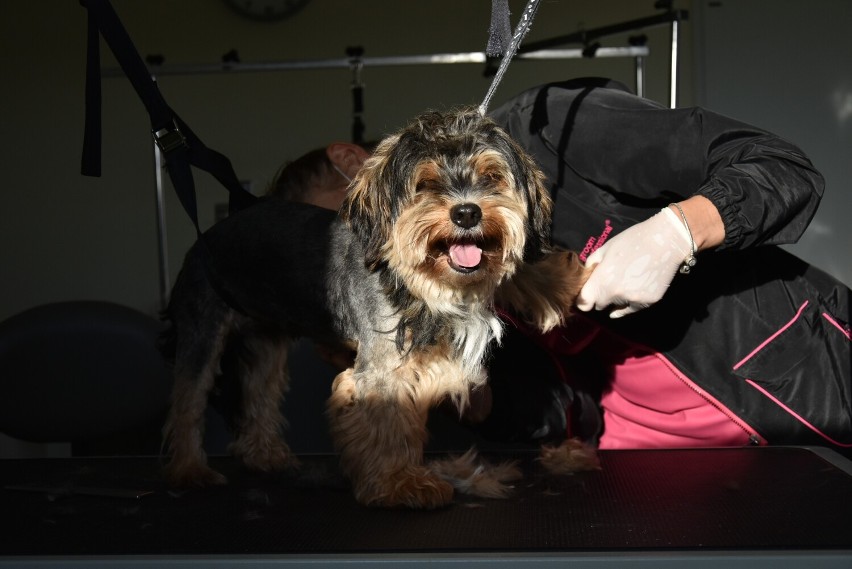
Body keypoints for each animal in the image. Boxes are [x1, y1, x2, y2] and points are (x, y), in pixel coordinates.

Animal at [163, 106, 596, 506]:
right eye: (425, 184)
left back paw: (264, 455)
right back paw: (188, 470)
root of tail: (210, 235)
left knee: (259, 391)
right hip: (202, 328)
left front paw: (559, 283)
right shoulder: (384, 369)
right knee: (187, 400)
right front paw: (399, 482)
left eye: (490, 177)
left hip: (266, 341)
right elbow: (388, 423)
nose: (467, 212)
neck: (417, 277)